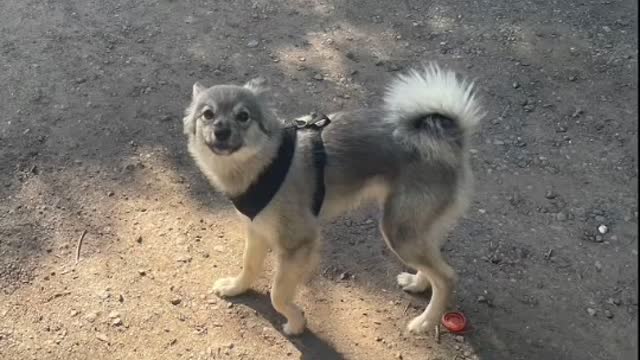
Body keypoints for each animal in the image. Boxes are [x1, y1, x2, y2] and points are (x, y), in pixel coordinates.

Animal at [182, 64, 482, 334]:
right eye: (207, 114)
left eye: (243, 116)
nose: (221, 131)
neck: (265, 162)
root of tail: (448, 138)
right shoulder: (256, 231)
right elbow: (249, 266)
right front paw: (236, 287)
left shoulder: (298, 244)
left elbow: (278, 294)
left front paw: (296, 323)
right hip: (414, 229)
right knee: (434, 265)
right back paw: (418, 283)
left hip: (398, 231)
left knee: (447, 277)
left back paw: (425, 322)